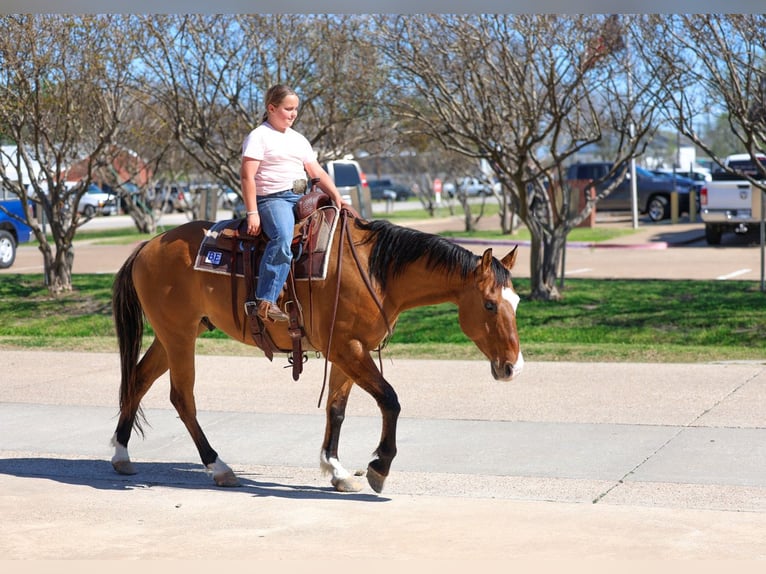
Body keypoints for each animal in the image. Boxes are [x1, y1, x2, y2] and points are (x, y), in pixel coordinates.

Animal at [110, 207, 523, 493]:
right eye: (490, 305)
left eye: (515, 302)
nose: (512, 368)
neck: (376, 271)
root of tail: (148, 246)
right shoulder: (347, 348)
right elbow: (390, 400)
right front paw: (379, 467)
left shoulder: (347, 351)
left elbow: (337, 409)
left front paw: (336, 470)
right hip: (179, 336)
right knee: (182, 397)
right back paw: (218, 466)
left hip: (174, 335)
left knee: (138, 380)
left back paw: (121, 454)